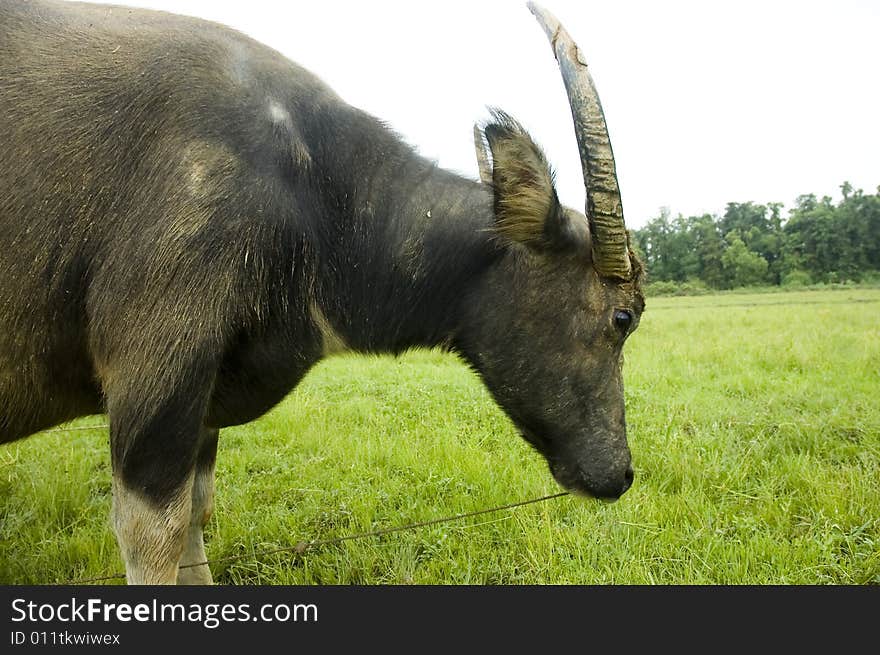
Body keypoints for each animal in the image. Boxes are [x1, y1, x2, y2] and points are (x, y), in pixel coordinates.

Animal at [0, 0, 648, 584]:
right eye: (623, 317)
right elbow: (155, 540)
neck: (315, 193)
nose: (621, 474)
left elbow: (196, 518)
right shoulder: (156, 375)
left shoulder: (201, 403)